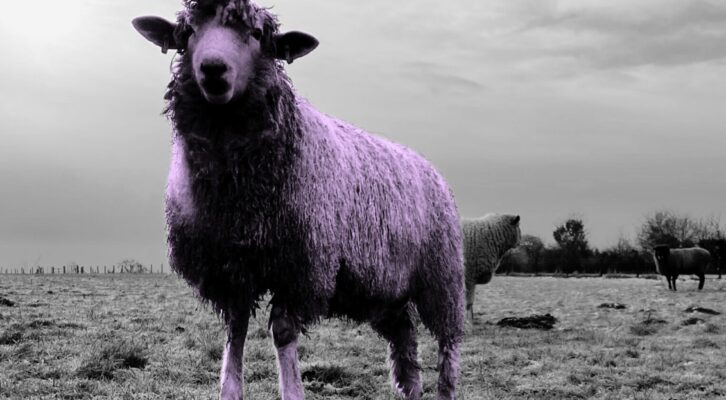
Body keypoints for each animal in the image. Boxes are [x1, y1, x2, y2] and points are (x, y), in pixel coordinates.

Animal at [131, 1, 464, 399]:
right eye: (188, 33)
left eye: (257, 34)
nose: (213, 68)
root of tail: (428, 165)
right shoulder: (231, 269)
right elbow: (235, 332)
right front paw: (230, 390)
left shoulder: (299, 266)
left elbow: (283, 332)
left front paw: (292, 390)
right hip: (384, 290)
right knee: (405, 341)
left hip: (441, 275)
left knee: (447, 342)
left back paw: (446, 385)